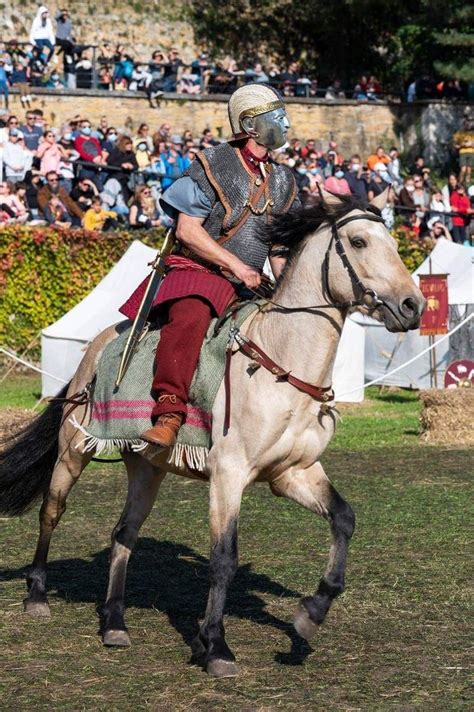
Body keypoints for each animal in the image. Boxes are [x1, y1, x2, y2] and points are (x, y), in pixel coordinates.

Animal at [0, 191, 422, 680]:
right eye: (358, 242)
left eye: (392, 243)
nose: (412, 306)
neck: (281, 365)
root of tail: (98, 345)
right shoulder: (228, 476)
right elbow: (224, 558)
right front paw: (216, 645)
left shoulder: (293, 473)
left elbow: (344, 518)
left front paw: (311, 612)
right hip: (73, 451)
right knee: (51, 513)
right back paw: (37, 595)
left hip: (147, 467)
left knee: (124, 534)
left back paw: (115, 622)